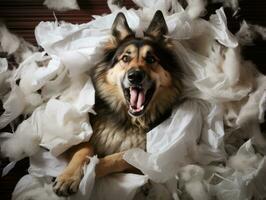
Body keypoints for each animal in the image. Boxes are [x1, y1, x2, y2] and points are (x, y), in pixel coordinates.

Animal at [53, 10, 184, 196]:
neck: (130, 120)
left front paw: (90, 171)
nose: (135, 76)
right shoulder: (75, 137)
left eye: (151, 59)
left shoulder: (155, 155)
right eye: (125, 58)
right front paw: (69, 177)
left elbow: (122, 156)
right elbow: (84, 149)